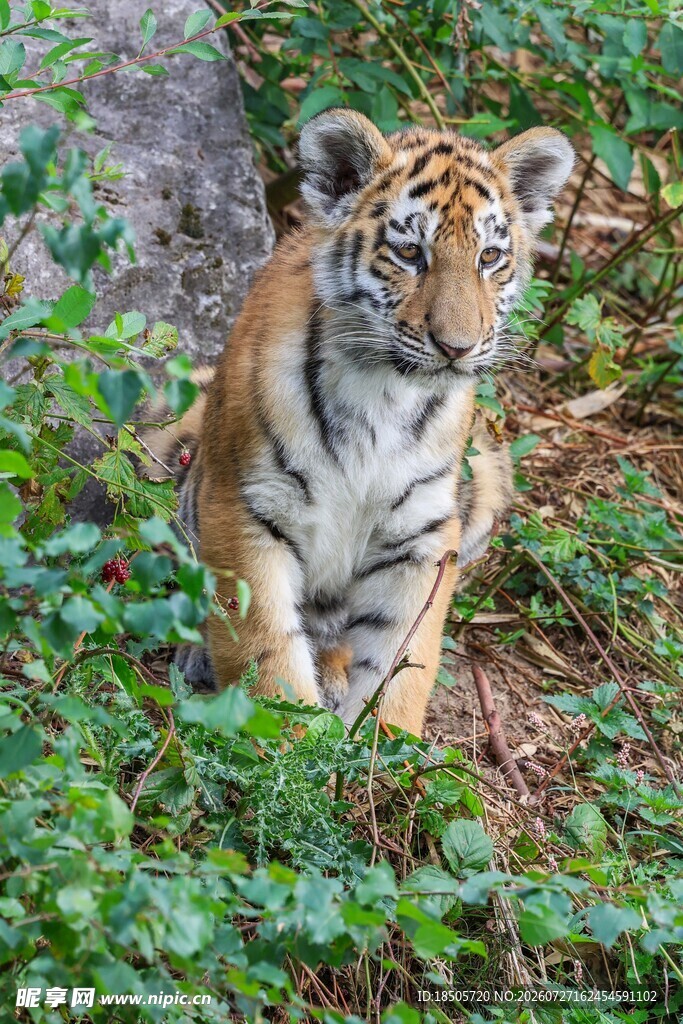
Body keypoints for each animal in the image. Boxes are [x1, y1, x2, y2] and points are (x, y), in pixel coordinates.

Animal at [145, 109, 573, 736]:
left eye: (489, 257)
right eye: (410, 252)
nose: (458, 347)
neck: (385, 389)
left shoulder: (422, 534)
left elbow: (405, 656)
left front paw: (386, 749)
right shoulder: (244, 505)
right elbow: (265, 647)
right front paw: (289, 745)